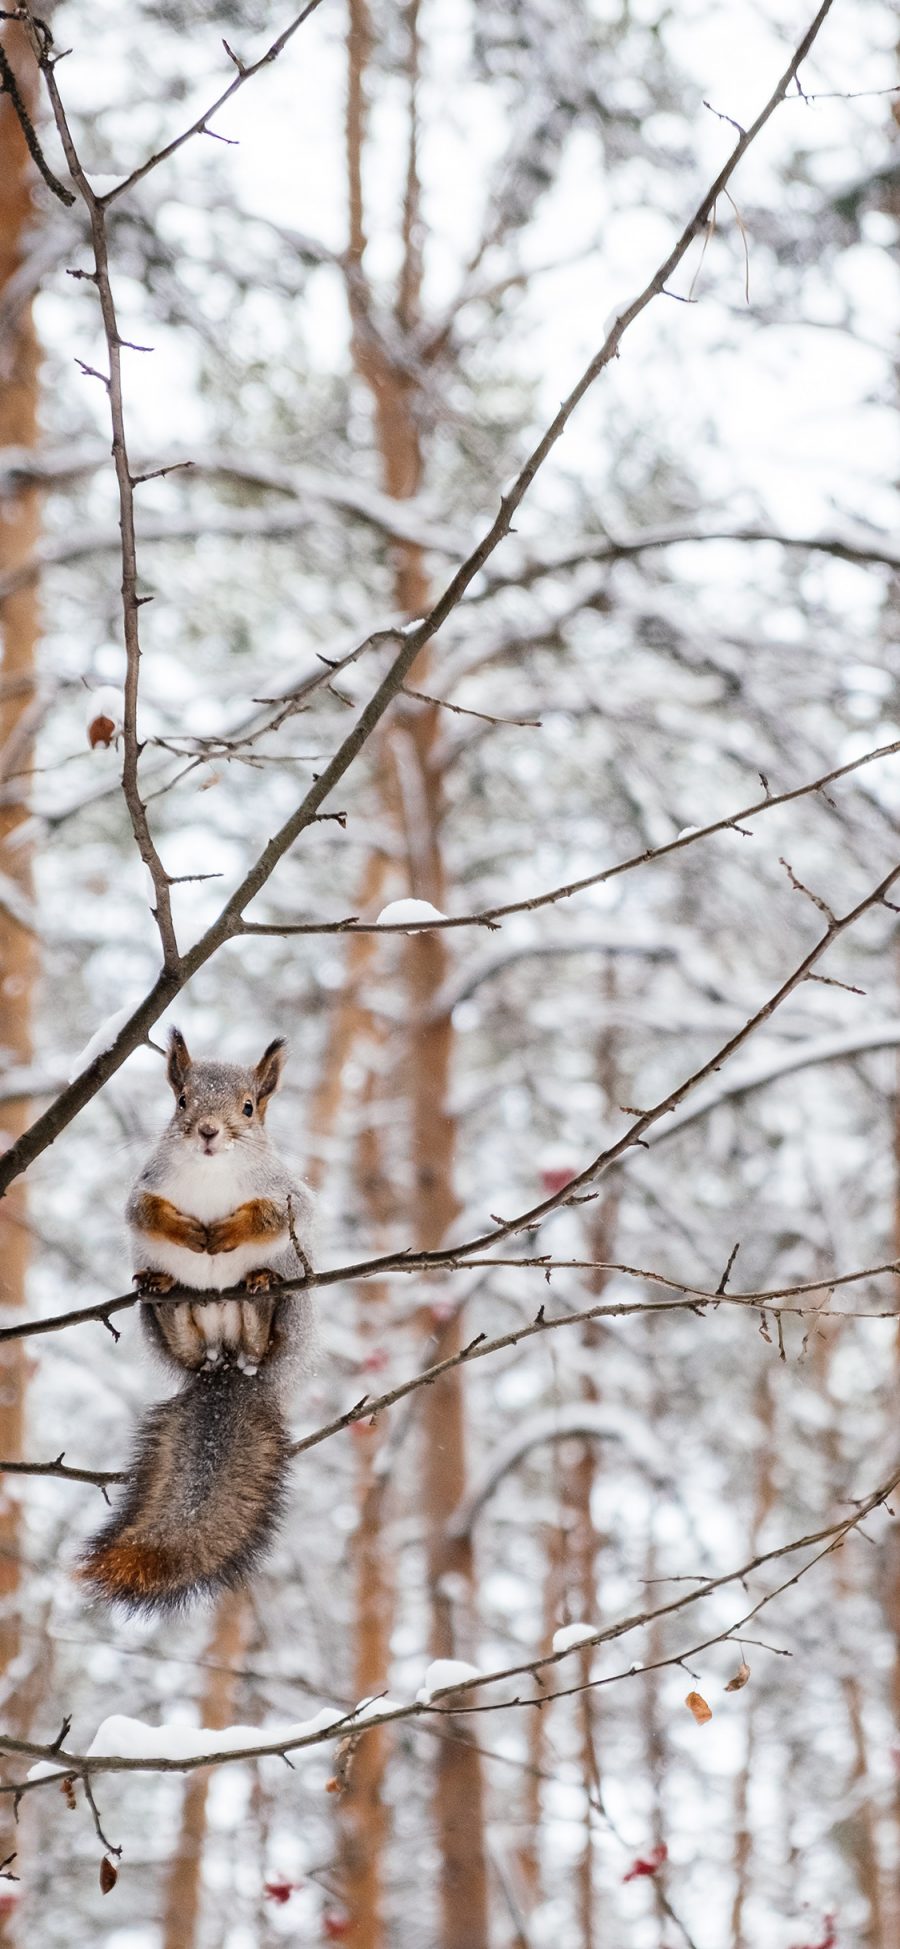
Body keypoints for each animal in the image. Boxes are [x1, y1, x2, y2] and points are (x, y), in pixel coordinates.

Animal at [81, 1021, 313, 1613]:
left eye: (249, 1107)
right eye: (181, 1100)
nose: (208, 1132)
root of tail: (225, 1364)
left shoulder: (288, 1196)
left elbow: (272, 1216)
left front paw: (227, 1232)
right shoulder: (144, 1188)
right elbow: (144, 1213)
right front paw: (186, 1231)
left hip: (289, 1317)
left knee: (260, 1333)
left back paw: (259, 1292)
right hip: (161, 1323)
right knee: (180, 1329)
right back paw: (169, 1290)